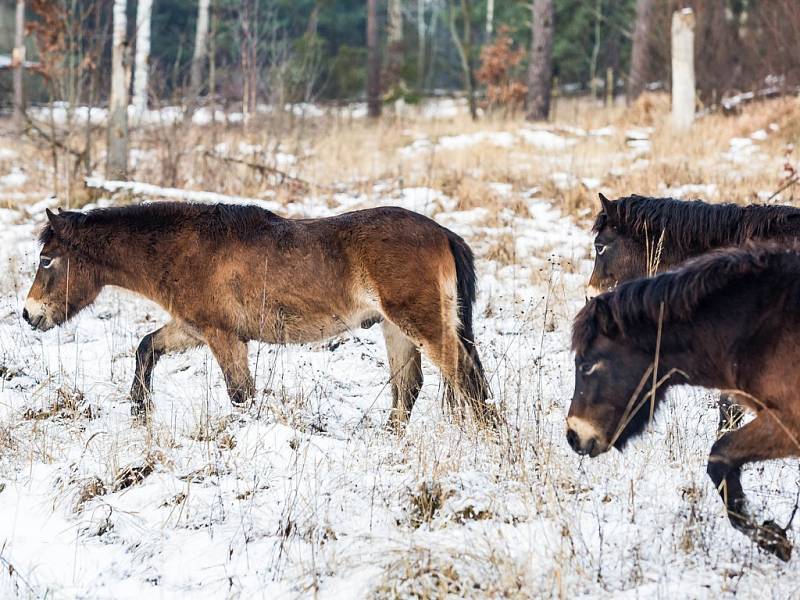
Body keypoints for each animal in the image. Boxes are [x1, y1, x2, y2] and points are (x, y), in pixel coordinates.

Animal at [23, 204, 500, 428]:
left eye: (47, 260)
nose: (28, 314)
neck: (185, 248)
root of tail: (443, 233)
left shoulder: (222, 336)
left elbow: (241, 395)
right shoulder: (193, 329)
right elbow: (146, 349)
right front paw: (140, 409)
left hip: (421, 325)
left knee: (467, 379)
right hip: (396, 328)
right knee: (409, 388)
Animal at [564, 241, 800, 560]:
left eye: (587, 365)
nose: (573, 435)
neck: (760, 326)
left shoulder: (788, 422)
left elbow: (719, 456)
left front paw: (773, 538)